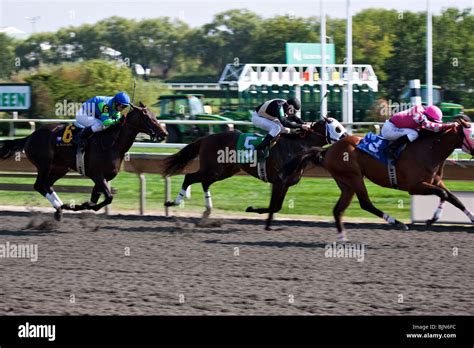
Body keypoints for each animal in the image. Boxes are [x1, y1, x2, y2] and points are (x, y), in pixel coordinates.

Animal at [0, 102, 168, 220]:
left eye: (154, 115)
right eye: (147, 117)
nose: (164, 133)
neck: (111, 144)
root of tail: (30, 136)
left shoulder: (103, 179)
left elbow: (96, 201)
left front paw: (81, 205)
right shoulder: (97, 175)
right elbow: (109, 197)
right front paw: (77, 205)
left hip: (59, 168)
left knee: (47, 185)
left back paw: (60, 208)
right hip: (44, 165)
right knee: (39, 185)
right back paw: (61, 207)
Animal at [163, 117, 348, 230]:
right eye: (337, 128)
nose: (348, 138)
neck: (297, 147)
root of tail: (206, 138)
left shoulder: (285, 184)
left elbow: (276, 206)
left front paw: (268, 225)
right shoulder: (279, 181)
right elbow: (274, 206)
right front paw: (252, 209)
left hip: (223, 171)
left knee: (205, 182)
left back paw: (207, 211)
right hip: (213, 168)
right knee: (190, 177)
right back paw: (174, 202)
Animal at [282, 115, 474, 241]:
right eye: (472, 134)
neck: (428, 150)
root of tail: (328, 150)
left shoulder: (436, 181)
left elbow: (454, 198)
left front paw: (472, 218)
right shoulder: (415, 186)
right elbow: (444, 194)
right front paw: (432, 219)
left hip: (345, 183)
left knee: (338, 210)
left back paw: (343, 237)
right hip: (354, 177)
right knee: (365, 203)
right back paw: (398, 223)